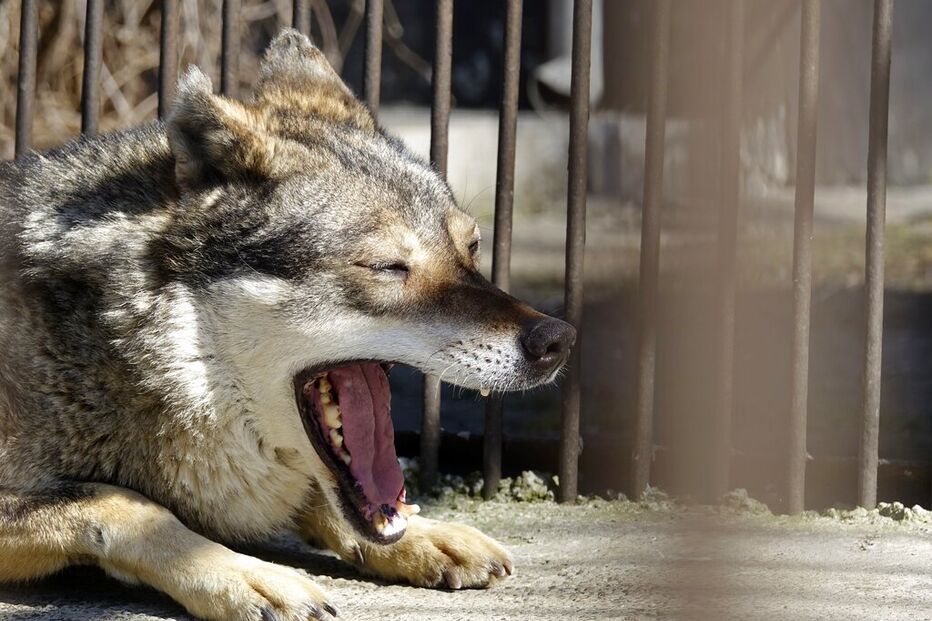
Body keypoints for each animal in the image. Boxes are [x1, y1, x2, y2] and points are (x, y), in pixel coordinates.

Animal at [0, 30, 575, 621]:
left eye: (472, 248)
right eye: (389, 267)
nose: (556, 340)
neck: (104, 341)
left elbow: (320, 500)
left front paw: (424, 534)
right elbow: (124, 503)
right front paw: (242, 576)